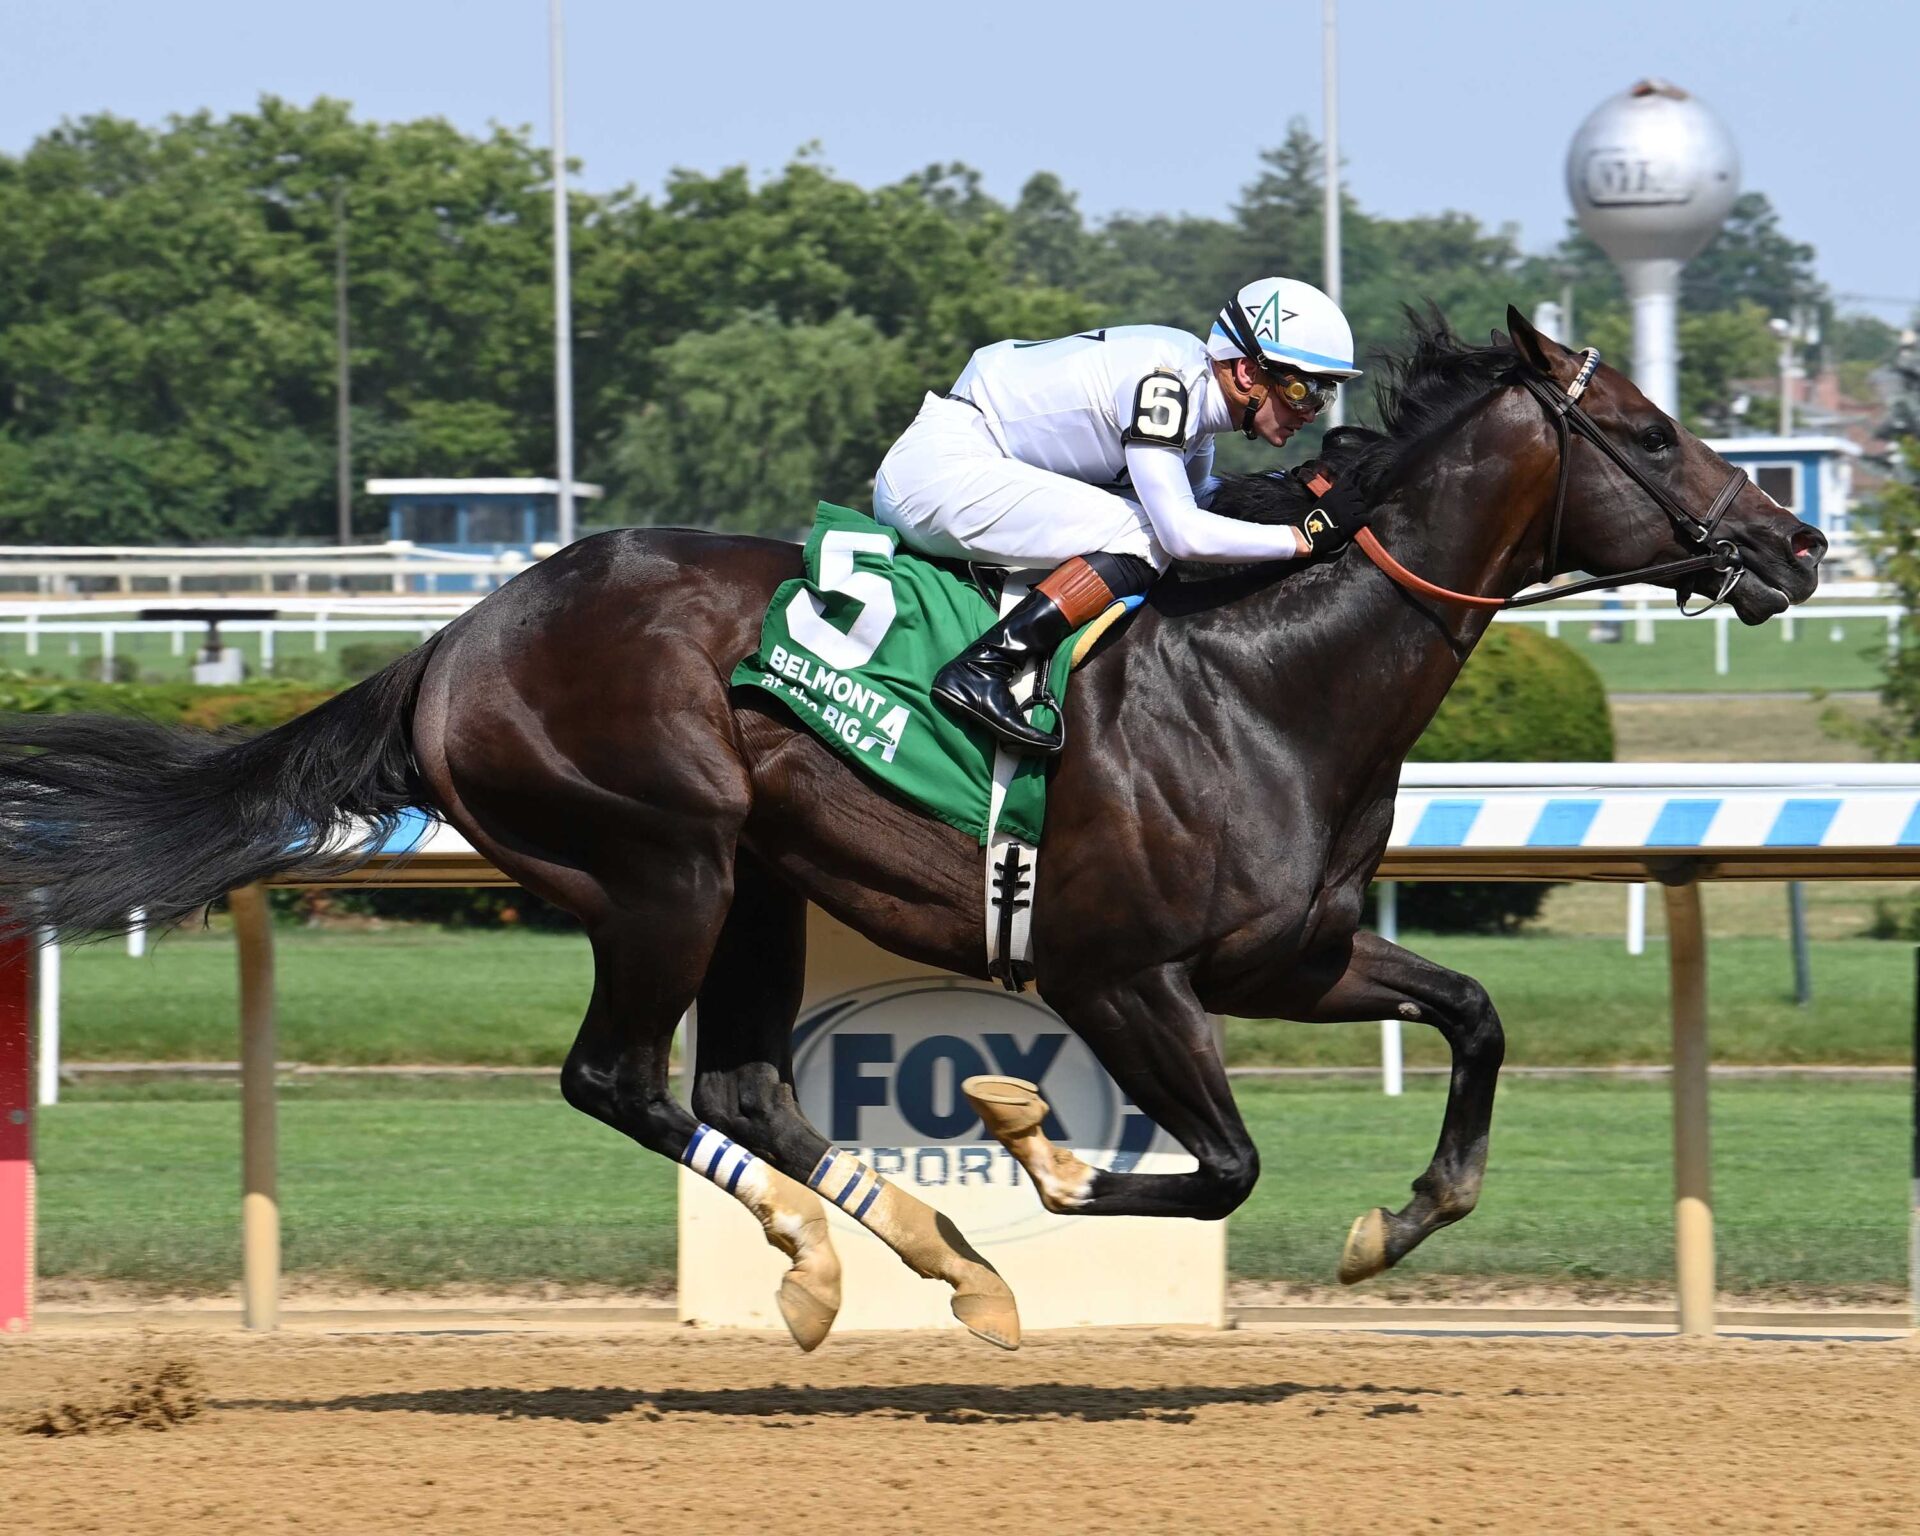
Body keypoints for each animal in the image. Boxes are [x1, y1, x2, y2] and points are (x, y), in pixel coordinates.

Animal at [0, 307, 1825, 1352]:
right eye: (1647, 431)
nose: (1800, 543)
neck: (1271, 679)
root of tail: (456, 640)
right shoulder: (1116, 974)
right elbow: (1215, 1167)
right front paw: (1034, 1138)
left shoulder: (1290, 959)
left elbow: (1474, 1014)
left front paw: (1399, 1224)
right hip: (660, 863)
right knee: (622, 1078)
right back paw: (824, 1261)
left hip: (753, 885)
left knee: (741, 1087)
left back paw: (936, 1259)